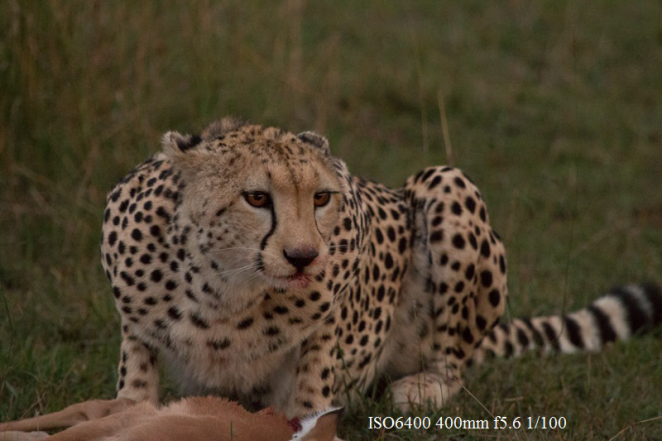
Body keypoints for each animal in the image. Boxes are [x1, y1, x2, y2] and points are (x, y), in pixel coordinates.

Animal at [96, 115, 660, 418]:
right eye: (256, 197)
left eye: (322, 197)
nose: (304, 256)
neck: (225, 289)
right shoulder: (136, 324)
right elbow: (133, 394)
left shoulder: (329, 316)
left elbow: (309, 395)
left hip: (444, 182)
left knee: (452, 364)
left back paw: (422, 388)